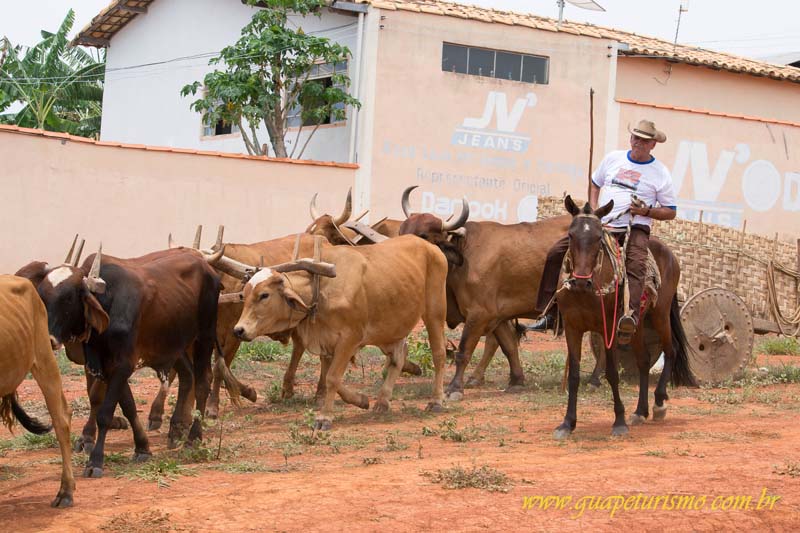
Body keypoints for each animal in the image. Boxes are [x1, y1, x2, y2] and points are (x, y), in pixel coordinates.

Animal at [556, 195, 692, 436]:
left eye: (598, 238)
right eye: (571, 235)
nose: (580, 281)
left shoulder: (607, 327)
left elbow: (611, 373)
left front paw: (619, 421)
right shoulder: (573, 328)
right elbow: (574, 375)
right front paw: (567, 423)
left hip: (660, 315)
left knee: (671, 350)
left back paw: (658, 403)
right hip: (636, 324)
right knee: (644, 360)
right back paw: (640, 411)